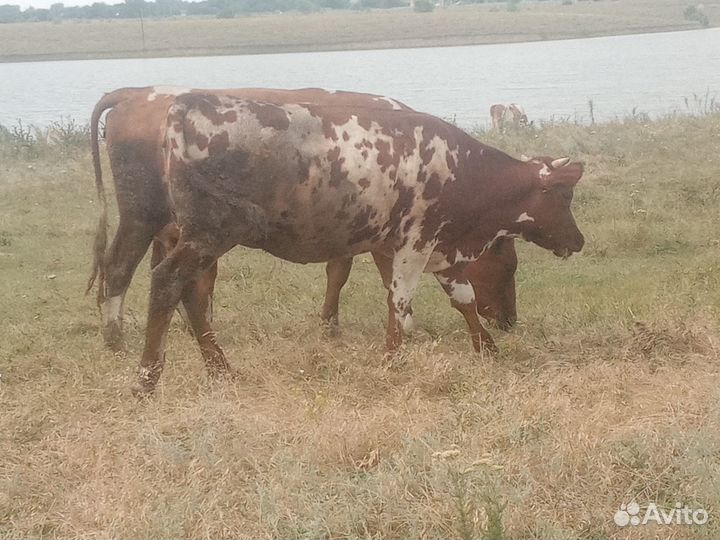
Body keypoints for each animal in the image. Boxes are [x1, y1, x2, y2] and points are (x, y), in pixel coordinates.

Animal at [88, 86, 517, 350]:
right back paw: (114, 336)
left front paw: (329, 323)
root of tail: (137, 93)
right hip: (141, 216)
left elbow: (338, 272)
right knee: (121, 267)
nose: (510, 321)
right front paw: (409, 327)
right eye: (508, 264)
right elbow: (385, 279)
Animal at [132, 93, 584, 395]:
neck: (464, 171)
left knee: (190, 292)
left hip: (198, 238)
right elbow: (399, 302)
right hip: (209, 234)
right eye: (564, 196)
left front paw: (486, 348)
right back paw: (147, 378)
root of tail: (190, 104)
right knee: (168, 281)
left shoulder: (433, 248)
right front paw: (392, 359)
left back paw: (220, 370)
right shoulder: (416, 242)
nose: (579, 241)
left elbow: (462, 298)